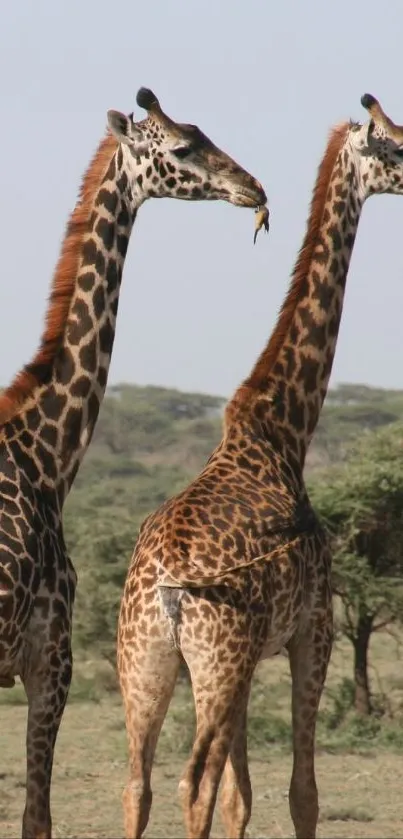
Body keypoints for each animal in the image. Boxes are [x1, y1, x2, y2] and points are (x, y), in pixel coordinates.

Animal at [119, 93, 403, 839]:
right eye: (392, 145)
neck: (284, 432)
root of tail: (166, 587)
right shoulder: (314, 628)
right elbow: (300, 791)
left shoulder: (251, 659)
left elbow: (240, 796)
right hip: (214, 658)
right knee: (190, 782)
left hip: (147, 662)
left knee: (138, 784)